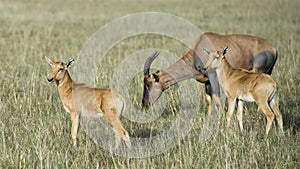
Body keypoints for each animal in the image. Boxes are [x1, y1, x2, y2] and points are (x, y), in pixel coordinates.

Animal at [142, 32, 278, 115]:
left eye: (148, 84)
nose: (144, 104)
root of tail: (273, 48)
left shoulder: (214, 78)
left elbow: (217, 99)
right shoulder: (206, 81)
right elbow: (208, 99)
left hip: (259, 71)